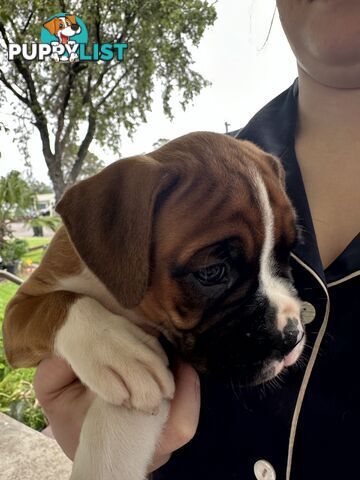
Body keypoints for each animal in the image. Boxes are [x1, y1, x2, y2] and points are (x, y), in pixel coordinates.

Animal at [3, 132, 304, 480]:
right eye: (211, 272)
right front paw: (115, 349)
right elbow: (55, 305)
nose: (292, 336)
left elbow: (117, 429)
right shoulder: (18, 311)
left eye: (287, 252)